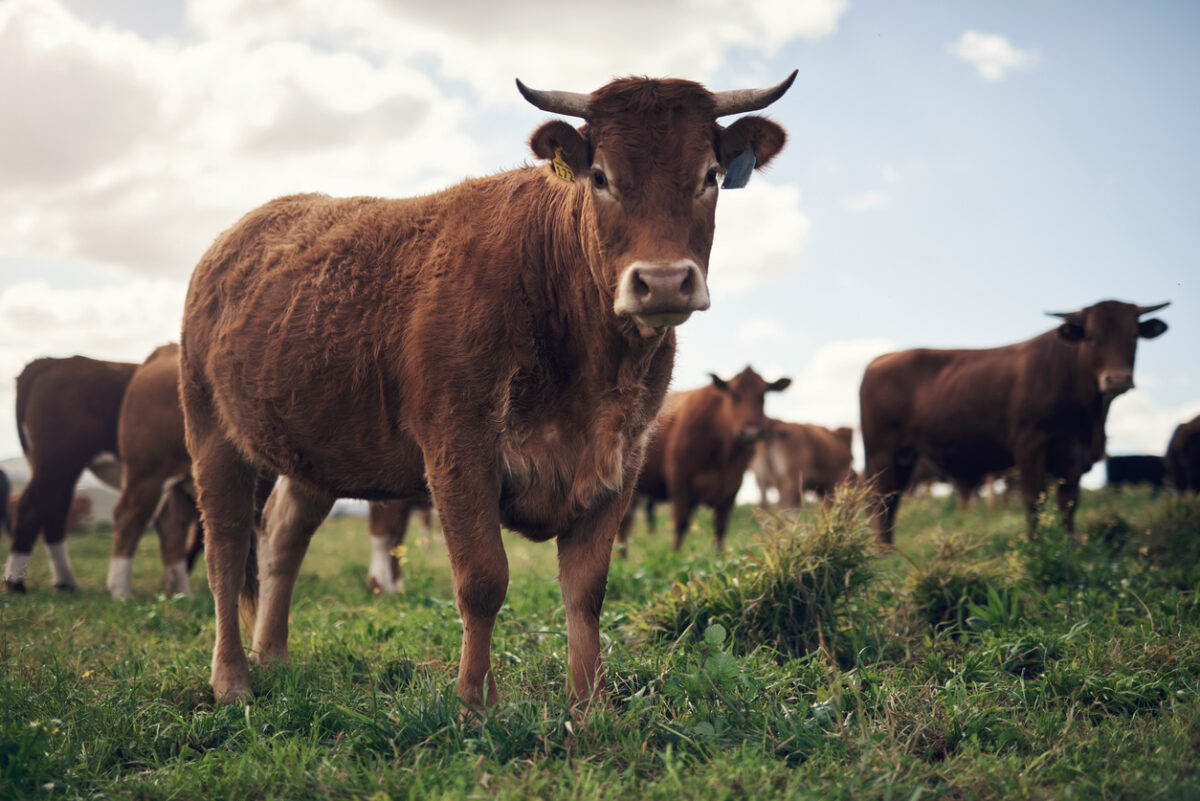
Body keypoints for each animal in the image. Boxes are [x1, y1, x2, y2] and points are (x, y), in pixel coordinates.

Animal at [619, 366, 796, 551]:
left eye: (763, 396)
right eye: (734, 395)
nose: (751, 432)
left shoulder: (732, 488)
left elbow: (720, 528)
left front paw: (720, 555)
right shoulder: (679, 481)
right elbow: (681, 524)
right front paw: (674, 554)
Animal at [864, 299, 1171, 544]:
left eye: (1133, 336)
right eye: (1092, 337)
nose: (1117, 379)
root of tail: (882, 359)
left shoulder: (1074, 456)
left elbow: (1069, 503)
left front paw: (1071, 545)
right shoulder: (1030, 445)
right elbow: (1033, 499)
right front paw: (1036, 547)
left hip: (905, 457)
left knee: (892, 500)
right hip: (882, 452)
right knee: (881, 500)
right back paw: (883, 553)